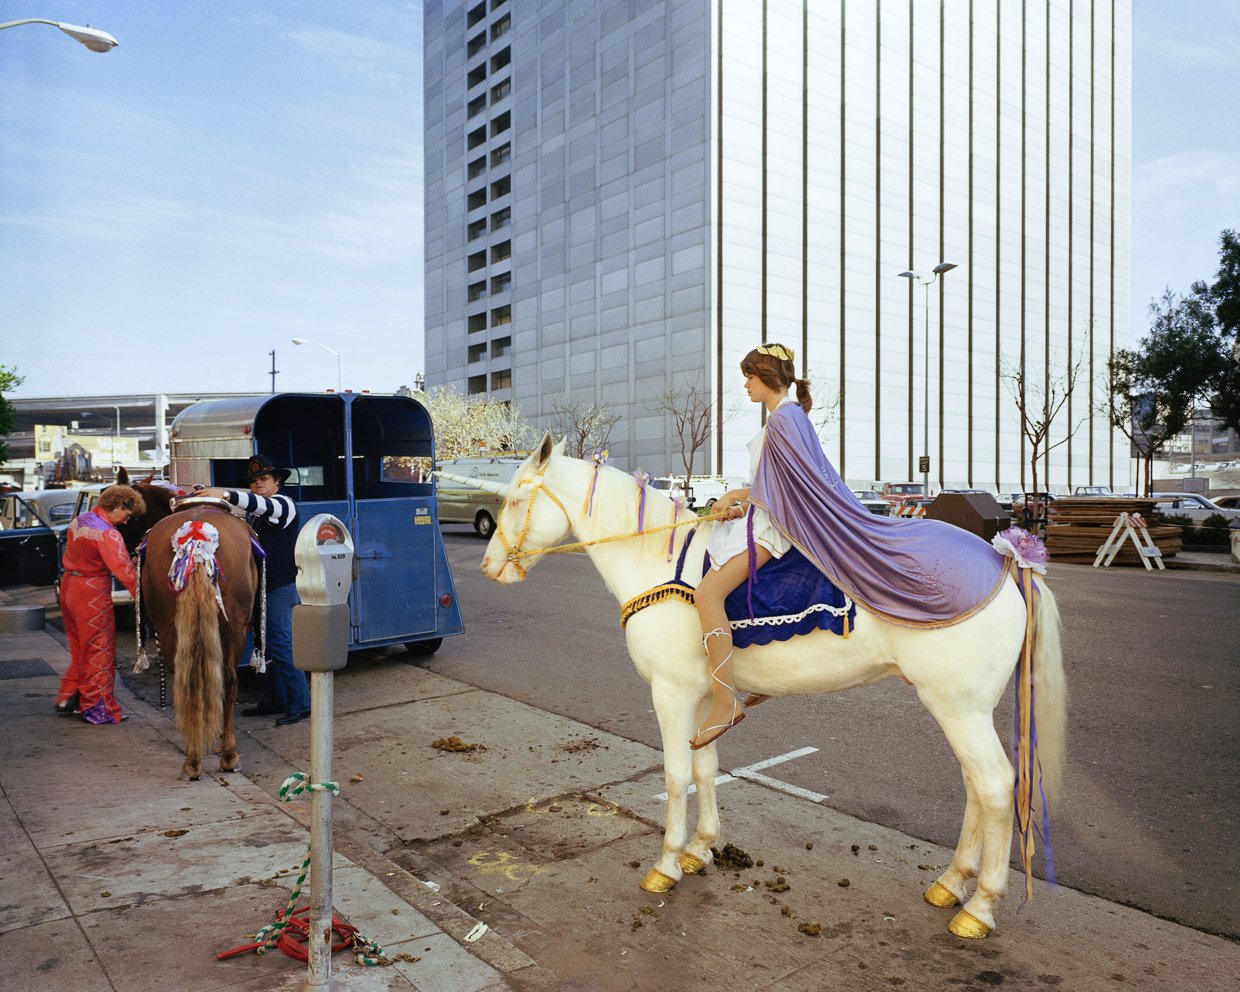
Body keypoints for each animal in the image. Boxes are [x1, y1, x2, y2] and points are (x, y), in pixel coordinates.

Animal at [140, 508, 256, 778]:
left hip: (171, 629)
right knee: (227, 680)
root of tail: (197, 539)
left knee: (188, 683)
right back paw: (227, 755)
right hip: (234, 629)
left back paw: (193, 756)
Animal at [461, 434, 1061, 937]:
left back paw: (980, 906)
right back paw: (952, 882)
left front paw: (666, 863)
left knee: (993, 787)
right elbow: (705, 767)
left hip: (957, 707)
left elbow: (676, 774)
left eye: (514, 499)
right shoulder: (705, 697)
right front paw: (701, 849)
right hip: (963, 708)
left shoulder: (671, 694)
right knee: (975, 788)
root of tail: (1004, 558)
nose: (489, 567)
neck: (658, 566)